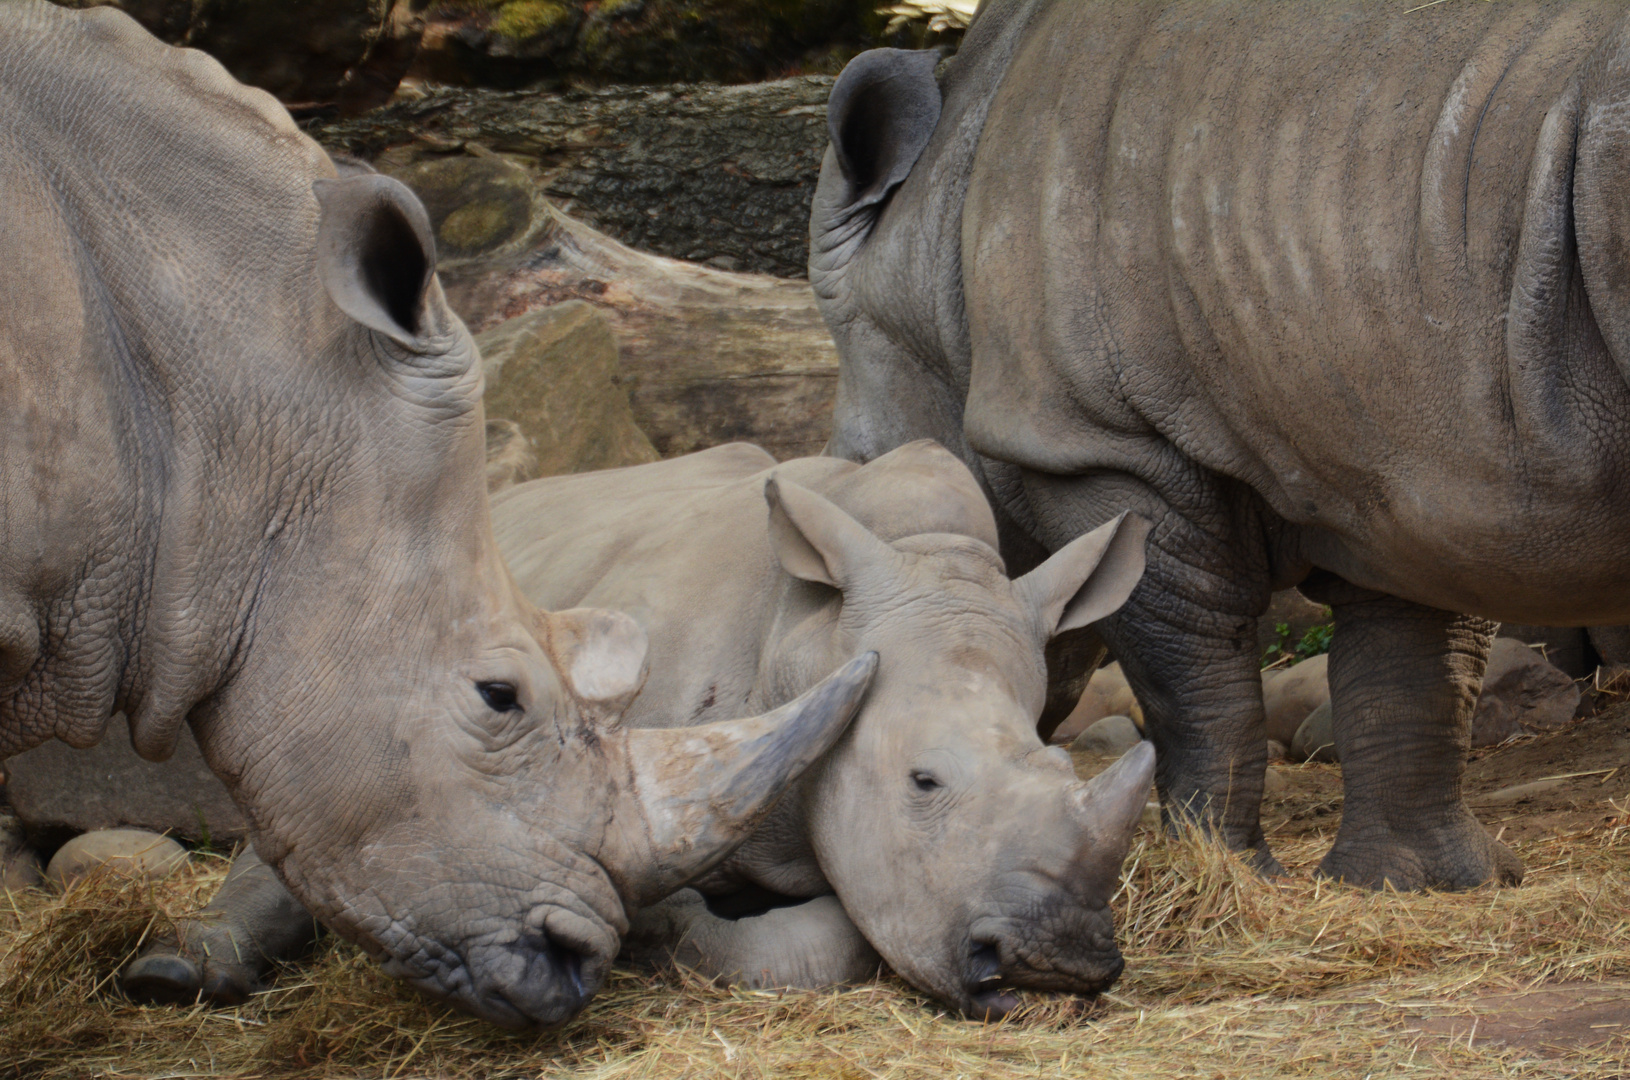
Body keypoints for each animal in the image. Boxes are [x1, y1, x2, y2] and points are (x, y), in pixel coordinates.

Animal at [136, 436, 1160, 1016]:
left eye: (1059, 762)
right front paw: (658, 926)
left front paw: (669, 932)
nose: (1057, 963)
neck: (811, 634)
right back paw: (173, 980)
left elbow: (840, 943)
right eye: (923, 780)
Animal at [815, 0, 1630, 892]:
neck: (928, 247)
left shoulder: (1093, 437)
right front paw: (1418, 883)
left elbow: (1191, 676)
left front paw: (1218, 868)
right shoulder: (1395, 445)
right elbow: (1415, 665)